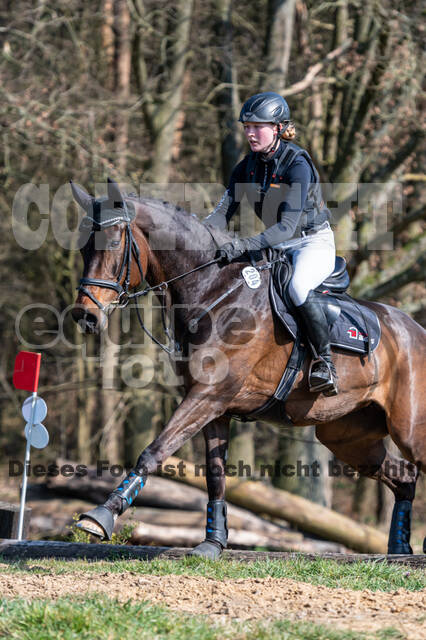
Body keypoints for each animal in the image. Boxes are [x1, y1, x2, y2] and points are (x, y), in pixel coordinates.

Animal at [69, 179, 422, 556]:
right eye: (83, 248)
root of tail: (416, 329)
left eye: (113, 244)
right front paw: (213, 542)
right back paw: (399, 549)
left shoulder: (209, 396)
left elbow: (153, 451)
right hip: (348, 436)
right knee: (403, 477)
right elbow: (215, 475)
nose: (85, 316)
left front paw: (101, 516)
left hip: (407, 430)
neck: (214, 292)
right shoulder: (214, 408)